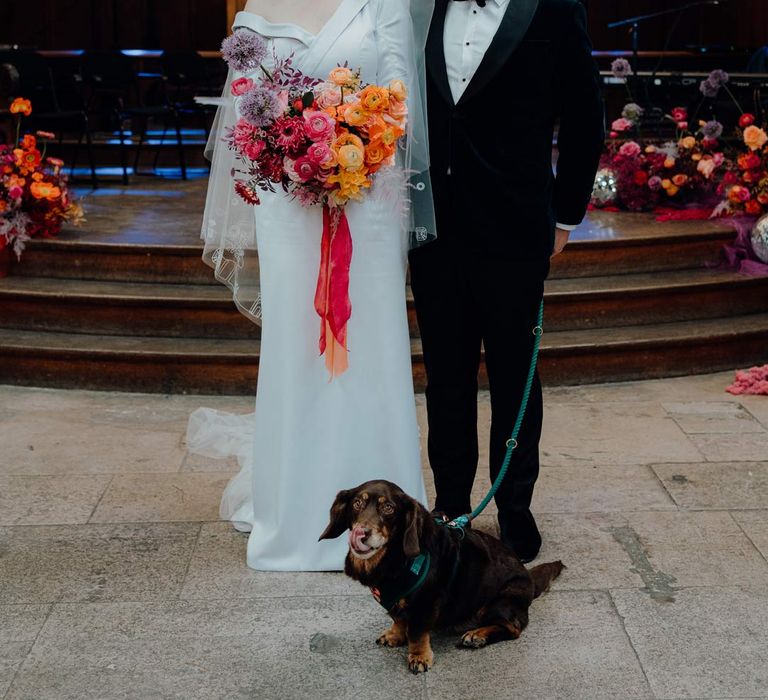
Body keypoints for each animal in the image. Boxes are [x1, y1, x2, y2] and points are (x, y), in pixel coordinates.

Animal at [318, 482, 564, 672]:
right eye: (357, 503)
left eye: (388, 508)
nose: (361, 533)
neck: (394, 559)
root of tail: (529, 579)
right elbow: (398, 619)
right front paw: (395, 635)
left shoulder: (425, 603)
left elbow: (417, 633)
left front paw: (419, 657)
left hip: (499, 602)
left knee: (514, 629)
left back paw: (477, 635)